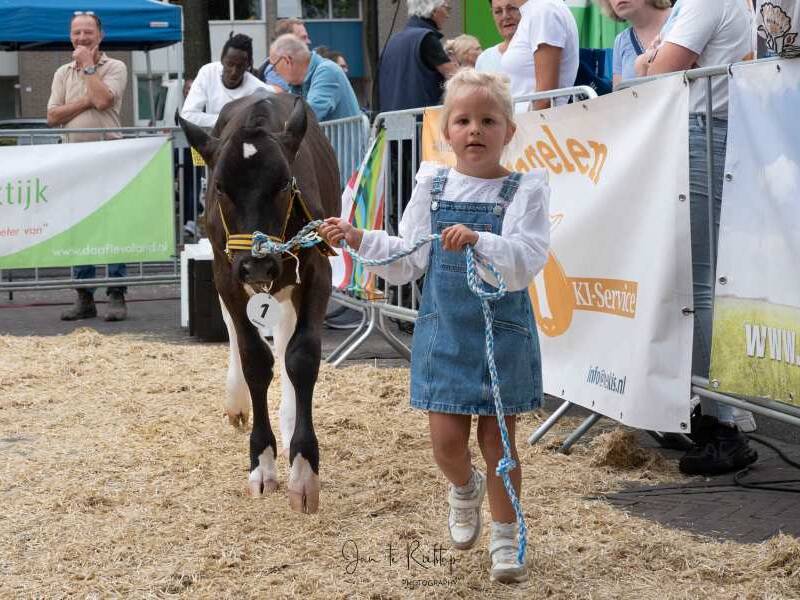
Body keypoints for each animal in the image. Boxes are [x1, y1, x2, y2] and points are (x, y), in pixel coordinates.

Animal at [178, 90, 339, 513]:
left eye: (283, 184)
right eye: (220, 187)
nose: (257, 263)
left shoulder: (317, 270)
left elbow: (301, 356)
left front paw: (303, 470)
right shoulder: (226, 272)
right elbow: (253, 356)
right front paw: (262, 465)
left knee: (284, 338)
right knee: (237, 332)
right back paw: (237, 403)